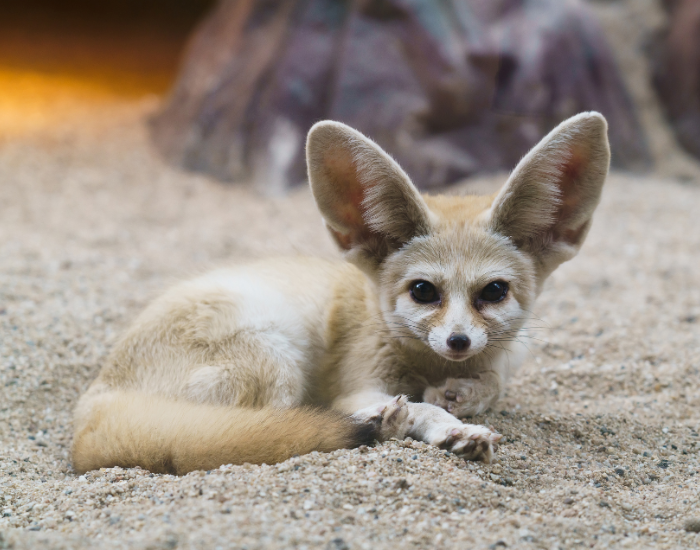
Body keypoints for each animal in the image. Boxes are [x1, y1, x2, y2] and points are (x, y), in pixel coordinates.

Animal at [72, 112, 610, 475]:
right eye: (423, 291)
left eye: (494, 292)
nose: (457, 341)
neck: (430, 366)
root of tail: (95, 401)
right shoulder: (357, 383)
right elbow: (417, 405)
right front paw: (449, 425)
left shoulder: (503, 361)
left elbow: (489, 386)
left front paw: (462, 397)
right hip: (276, 360)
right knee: (274, 428)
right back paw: (382, 424)